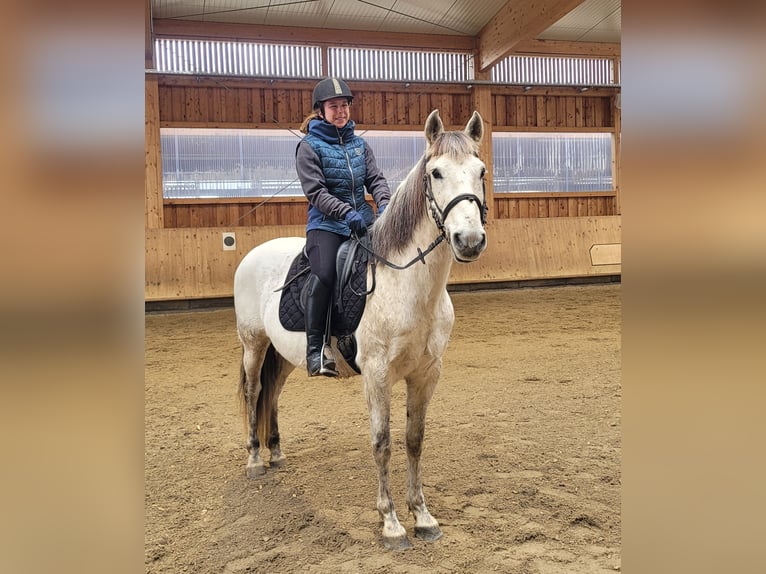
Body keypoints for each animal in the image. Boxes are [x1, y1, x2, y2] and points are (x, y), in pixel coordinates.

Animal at [233, 109, 488, 550]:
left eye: (481, 171)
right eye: (436, 172)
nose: (469, 240)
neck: (405, 284)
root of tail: (253, 253)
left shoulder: (426, 373)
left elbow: (414, 440)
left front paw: (422, 517)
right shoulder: (377, 373)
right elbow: (382, 442)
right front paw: (391, 523)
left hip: (283, 355)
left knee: (273, 393)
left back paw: (276, 454)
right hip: (254, 344)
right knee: (253, 392)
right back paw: (254, 461)